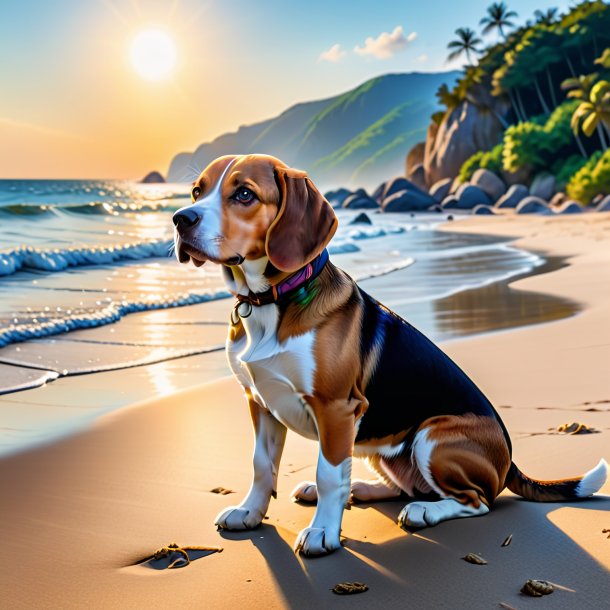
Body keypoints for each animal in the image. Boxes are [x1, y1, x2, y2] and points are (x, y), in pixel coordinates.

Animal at [171, 153, 604, 556]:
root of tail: (510, 460)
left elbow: (330, 473)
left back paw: (424, 511)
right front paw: (249, 513)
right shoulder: (260, 400)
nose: (179, 219)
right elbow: (262, 466)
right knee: (403, 487)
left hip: (433, 436)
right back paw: (358, 490)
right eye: (196, 191)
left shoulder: (336, 408)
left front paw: (323, 532)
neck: (271, 301)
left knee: (475, 501)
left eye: (244, 194)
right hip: (378, 443)